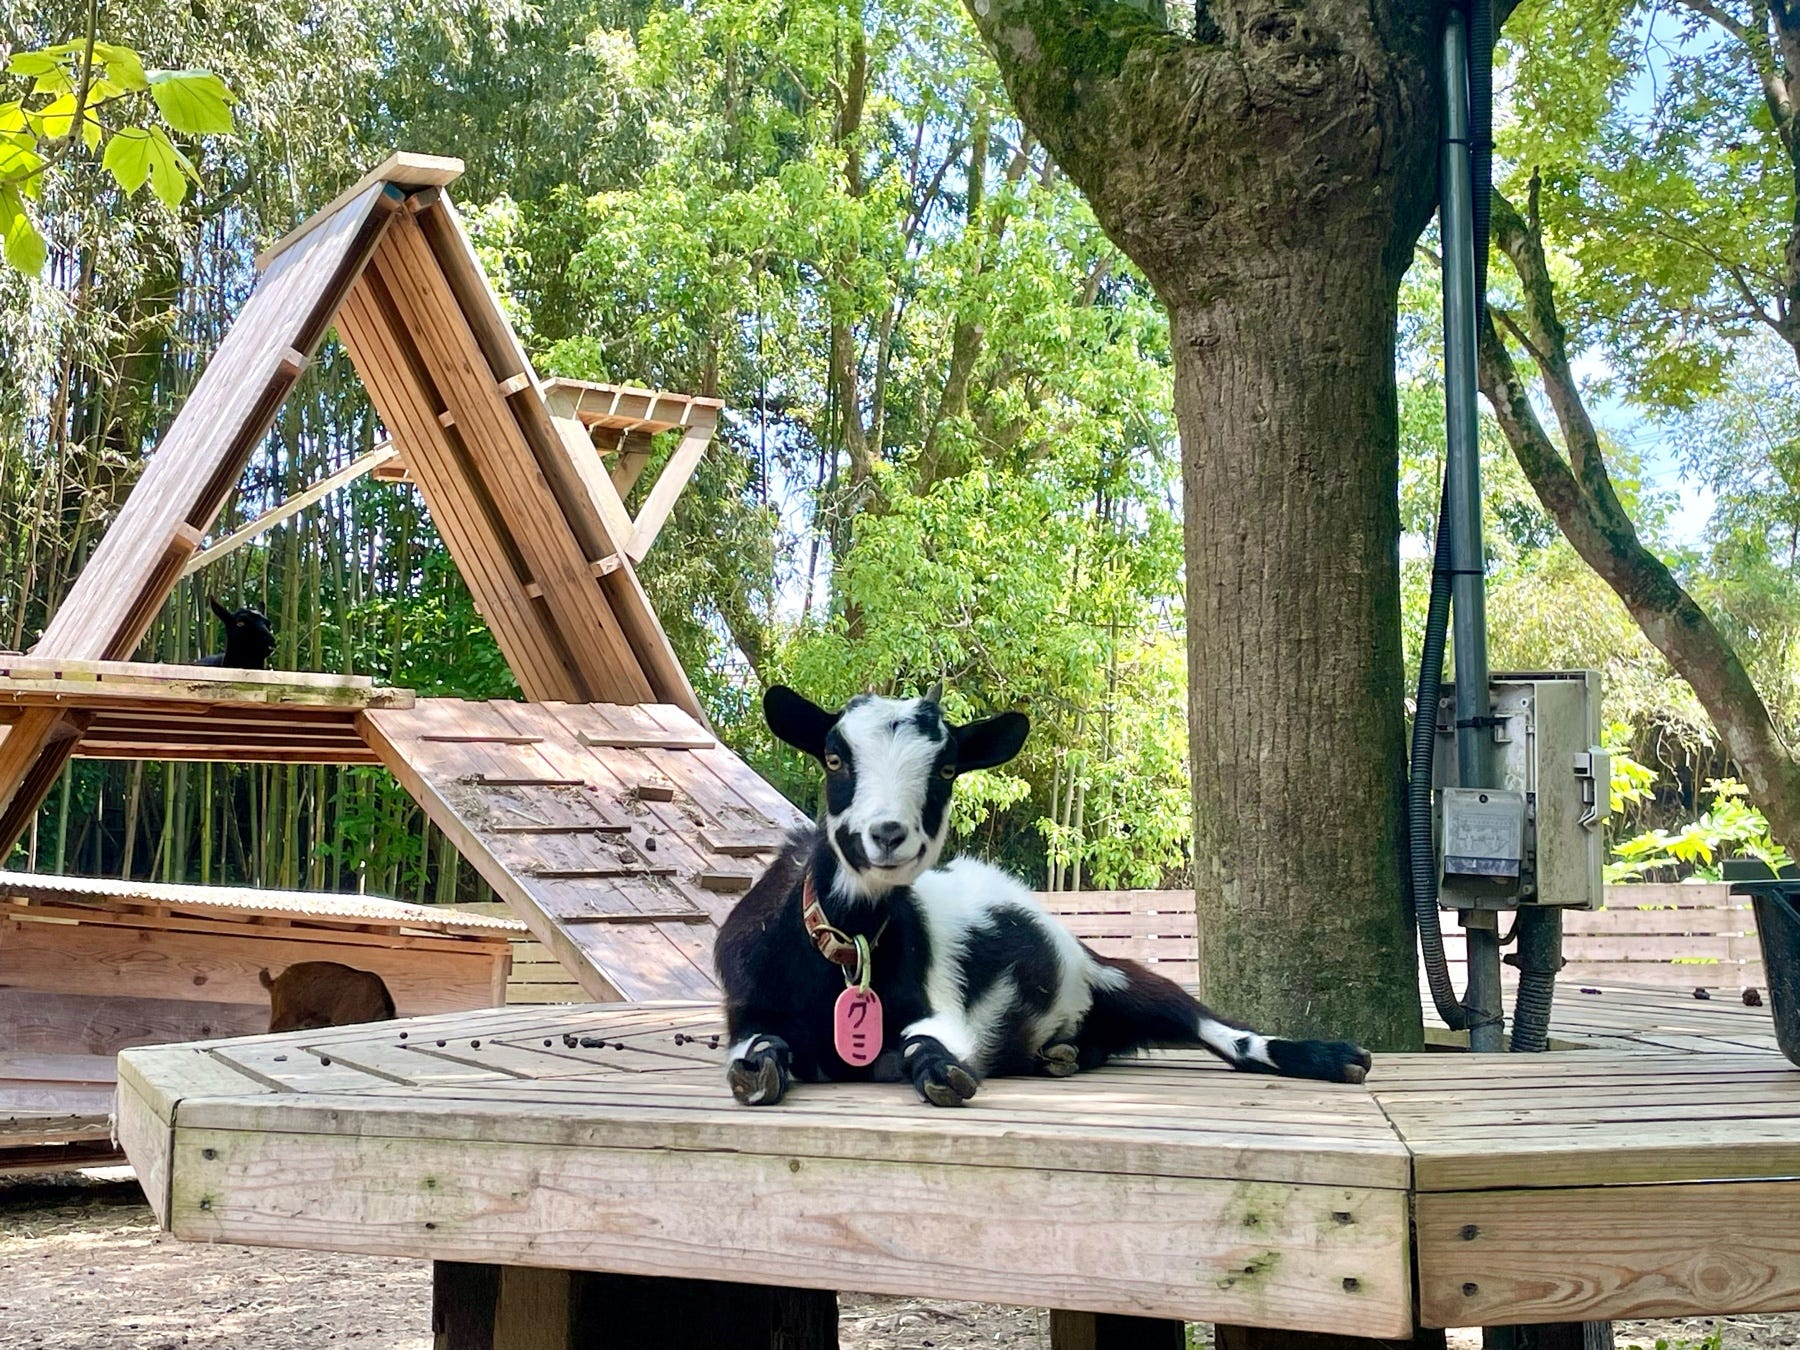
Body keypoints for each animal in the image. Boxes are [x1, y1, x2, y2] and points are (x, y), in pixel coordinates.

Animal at [716, 685, 1372, 1107]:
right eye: (833, 757)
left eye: (947, 769)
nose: (888, 834)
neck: (846, 953)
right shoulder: (747, 1008)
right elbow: (757, 1046)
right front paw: (758, 1069)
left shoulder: (940, 1010)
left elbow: (929, 1046)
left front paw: (941, 1072)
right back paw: (1061, 1055)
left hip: (1117, 974)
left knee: (1222, 1032)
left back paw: (1336, 1058)